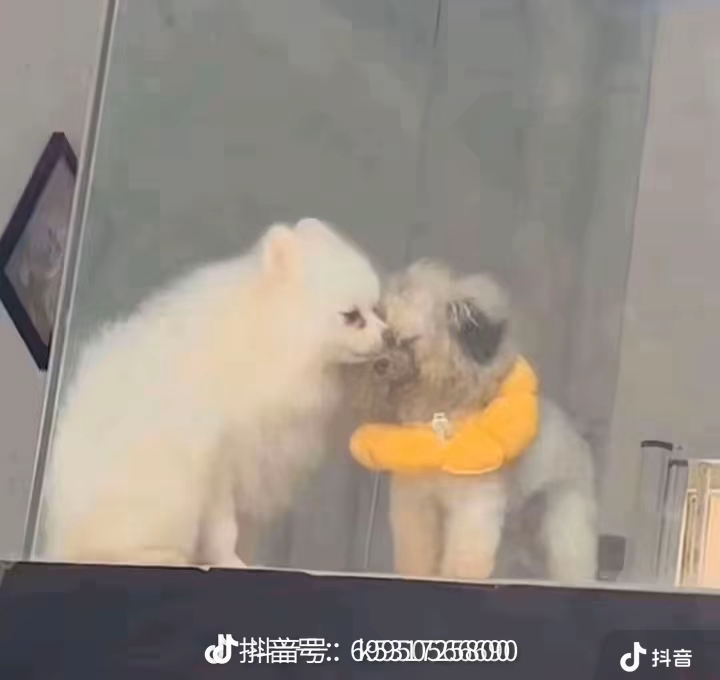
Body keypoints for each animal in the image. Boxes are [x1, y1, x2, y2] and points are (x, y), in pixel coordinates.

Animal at [42, 218, 386, 568]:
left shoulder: (261, 467)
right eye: (351, 316)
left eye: (376, 309)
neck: (269, 343)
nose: (388, 334)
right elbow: (223, 528)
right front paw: (229, 561)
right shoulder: (220, 465)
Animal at [345, 259, 598, 583]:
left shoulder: (474, 503)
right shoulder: (417, 502)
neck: (439, 408)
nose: (378, 365)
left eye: (407, 341)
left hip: (564, 513)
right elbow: (418, 551)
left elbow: (465, 555)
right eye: (382, 339)